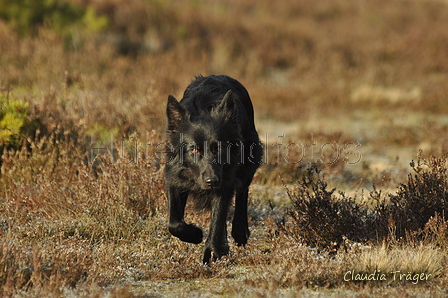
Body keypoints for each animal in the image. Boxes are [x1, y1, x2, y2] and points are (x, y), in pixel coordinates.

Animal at [164, 74, 262, 264]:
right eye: (194, 150)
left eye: (221, 149)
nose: (211, 181)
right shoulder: (175, 178)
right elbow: (174, 223)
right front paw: (195, 235)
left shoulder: (225, 180)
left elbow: (217, 217)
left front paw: (211, 253)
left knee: (242, 193)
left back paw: (239, 232)